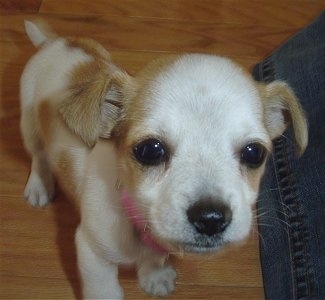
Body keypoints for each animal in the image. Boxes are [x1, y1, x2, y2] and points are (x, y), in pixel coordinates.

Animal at [20, 20, 306, 298]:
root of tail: (55, 43)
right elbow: (105, 291)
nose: (211, 218)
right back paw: (39, 185)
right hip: (28, 124)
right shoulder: (93, 256)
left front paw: (154, 275)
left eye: (254, 153)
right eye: (150, 150)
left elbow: (155, 258)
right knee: (38, 155)